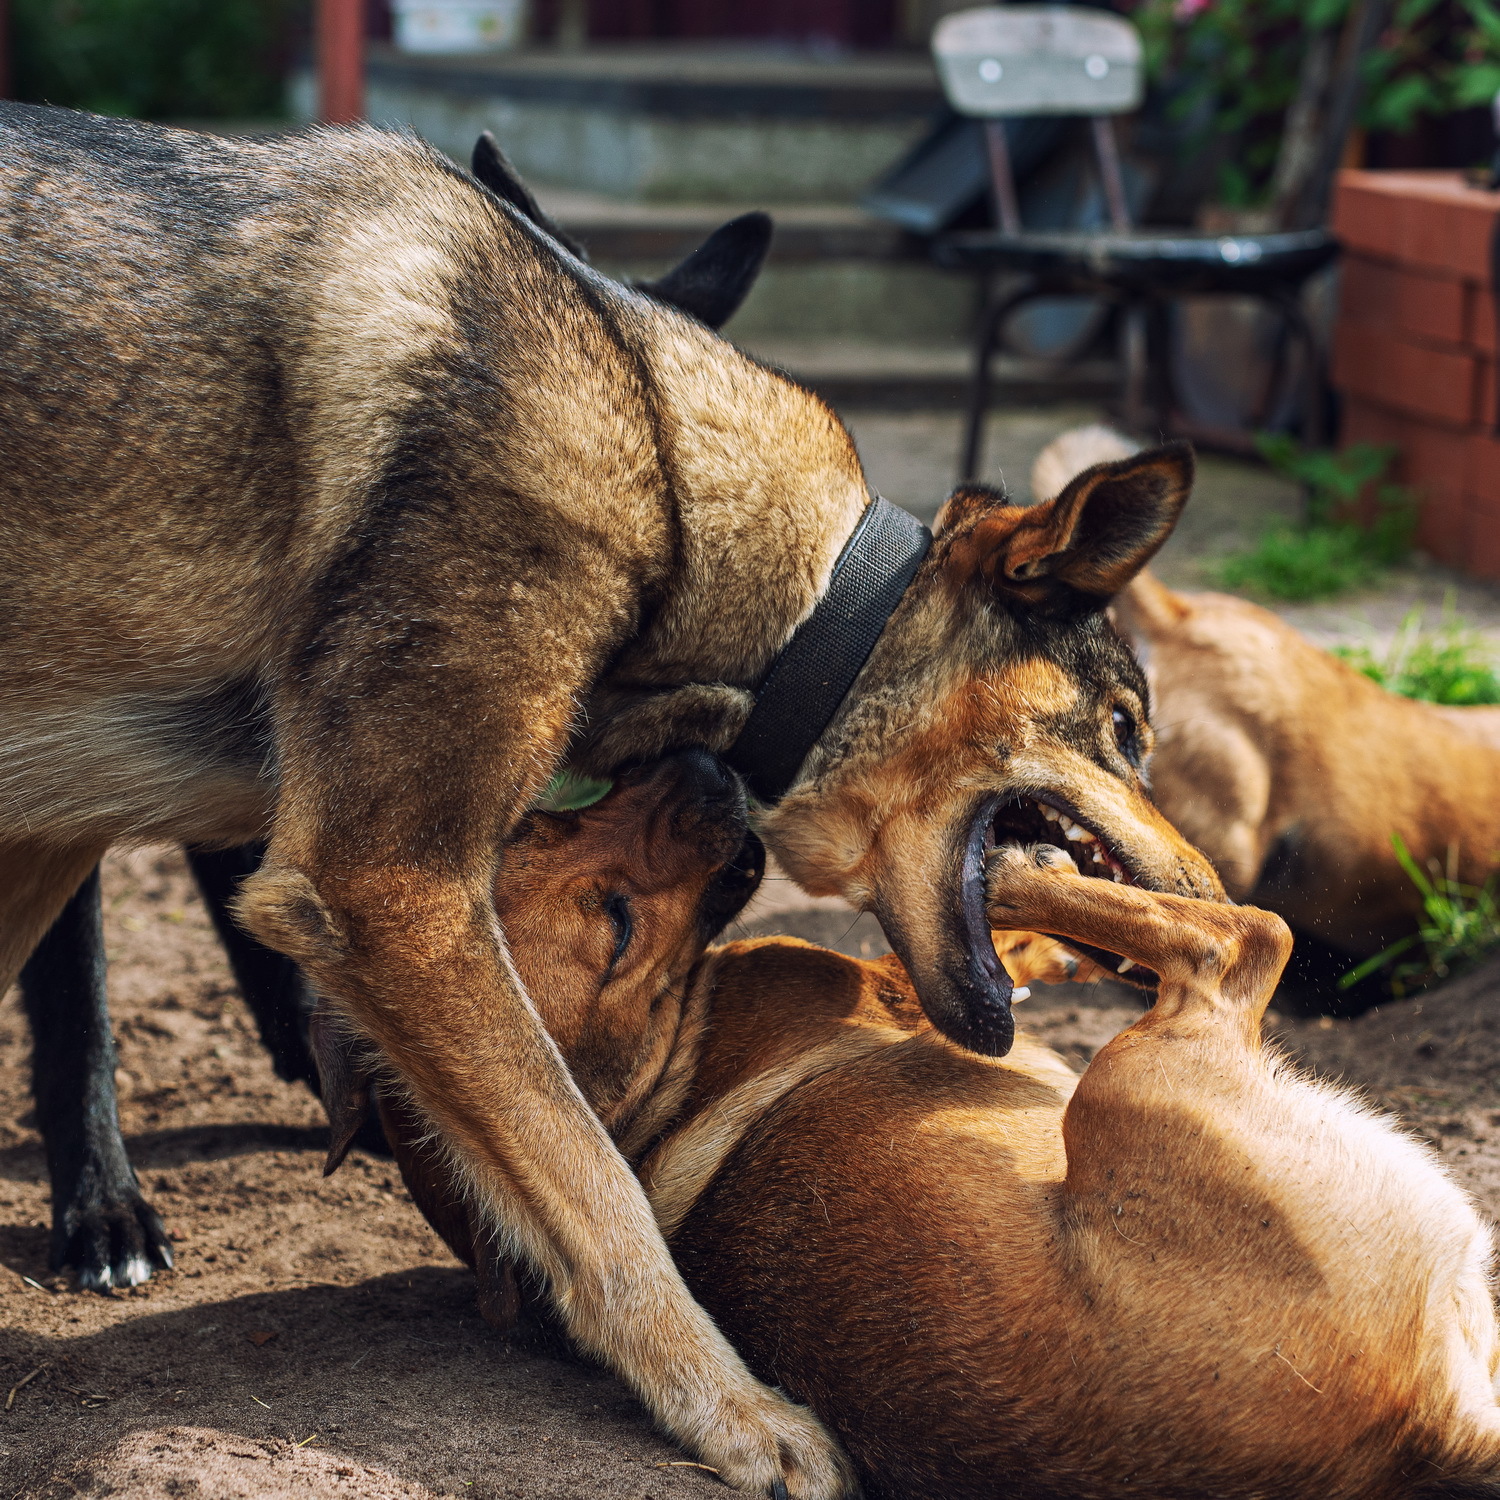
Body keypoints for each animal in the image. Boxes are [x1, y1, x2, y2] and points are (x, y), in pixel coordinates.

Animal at [0, 108, 1212, 1488]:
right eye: (1127, 729)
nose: (1216, 895)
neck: (667, 462)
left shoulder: (49, 839)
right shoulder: (388, 886)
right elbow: (598, 1190)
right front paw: (733, 1411)